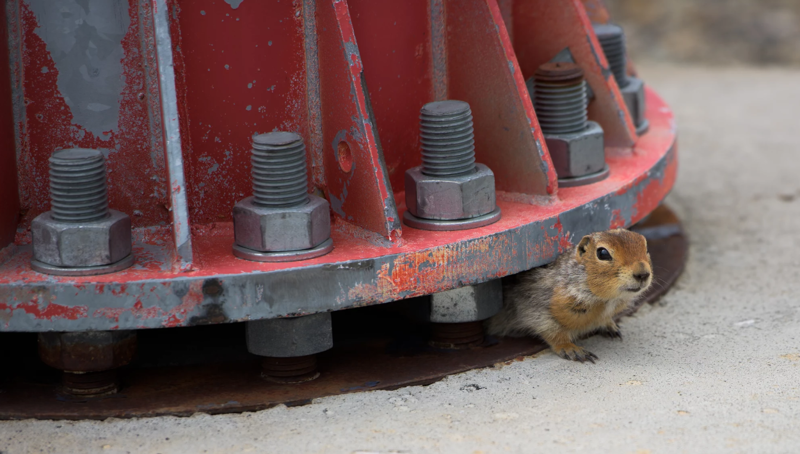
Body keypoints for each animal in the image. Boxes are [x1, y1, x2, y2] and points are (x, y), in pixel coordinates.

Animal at [488, 229, 648, 364]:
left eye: (646, 248)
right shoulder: (536, 306)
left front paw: (610, 326)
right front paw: (571, 348)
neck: (607, 300)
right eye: (602, 253)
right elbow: (552, 331)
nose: (643, 274)